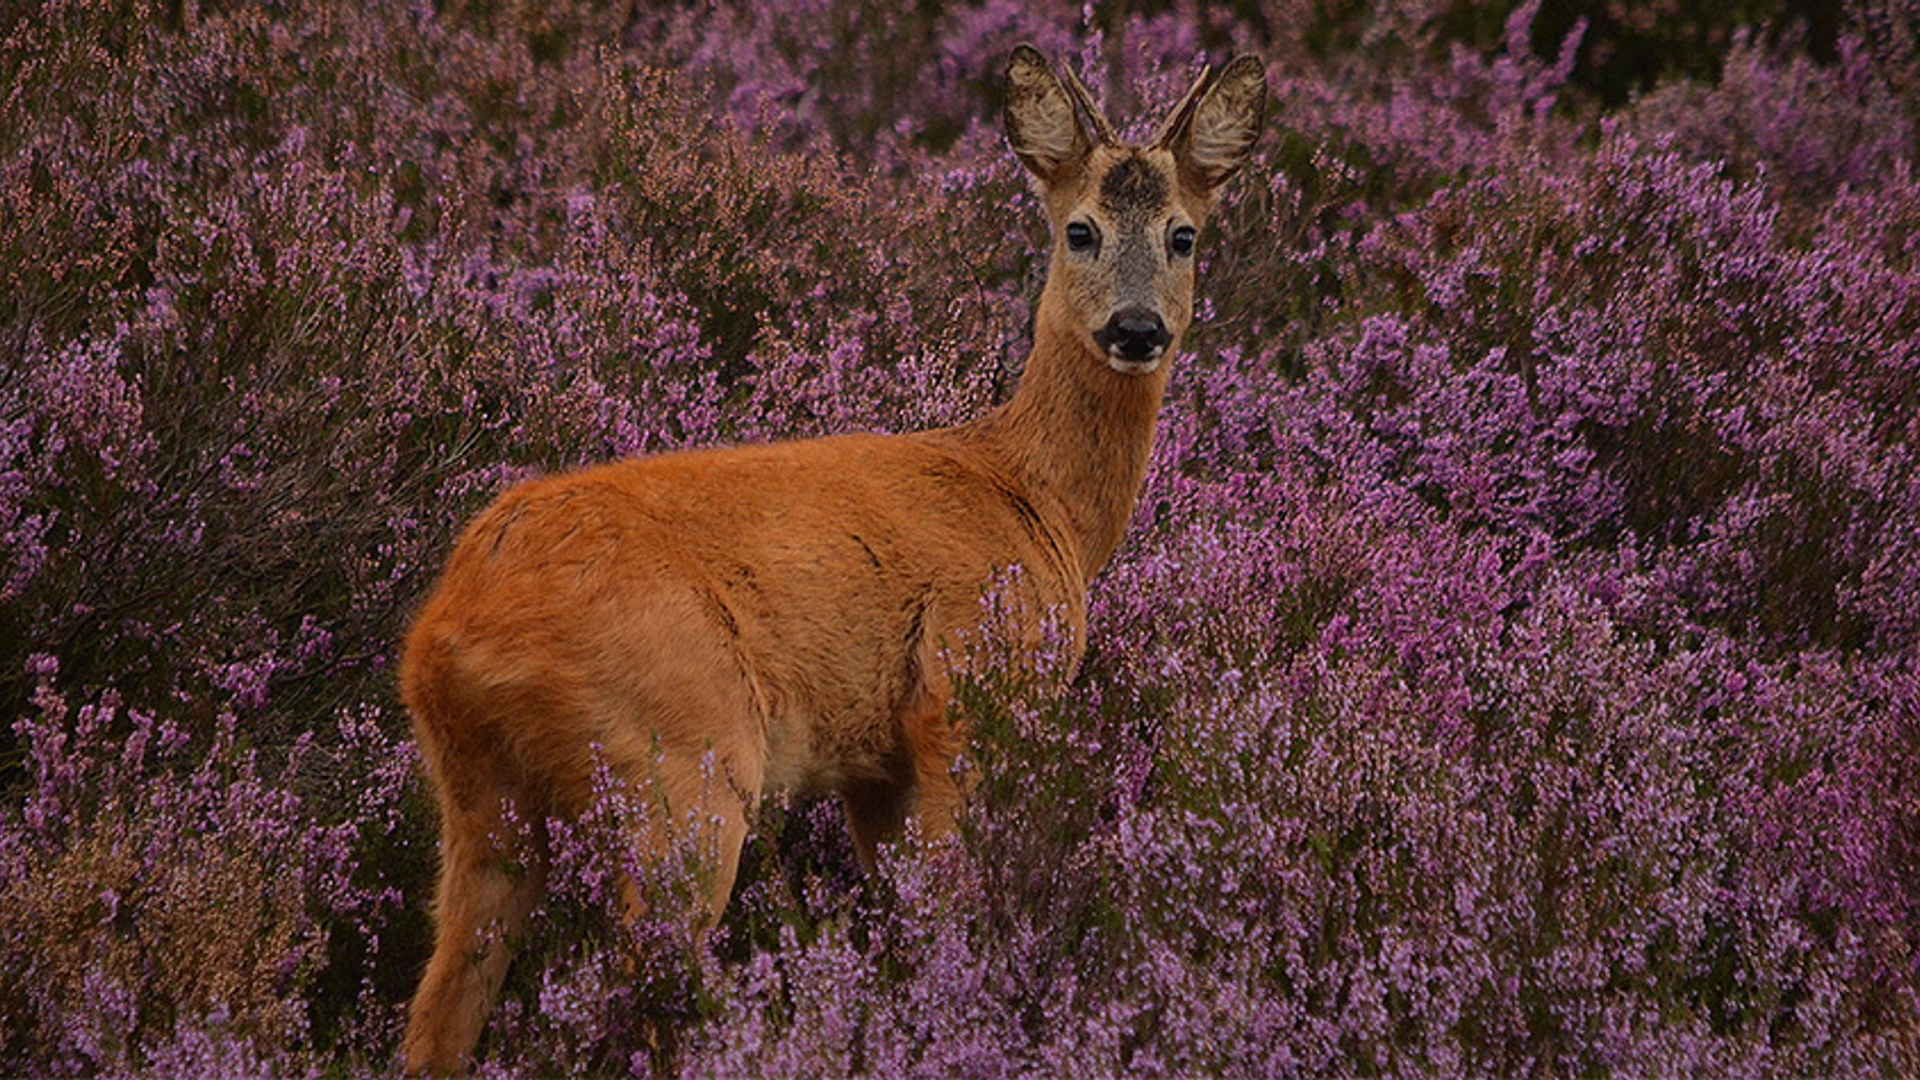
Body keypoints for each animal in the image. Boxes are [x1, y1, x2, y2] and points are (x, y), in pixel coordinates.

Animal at [397, 42, 1267, 1068]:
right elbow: (946, 919)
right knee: (650, 992)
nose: (1136, 329)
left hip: (479, 800)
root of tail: (450, 632)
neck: (1035, 498)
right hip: (681, 766)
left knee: (438, 1007)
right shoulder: (961, 691)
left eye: (1184, 236)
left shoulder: (874, 764)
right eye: (1080, 231)